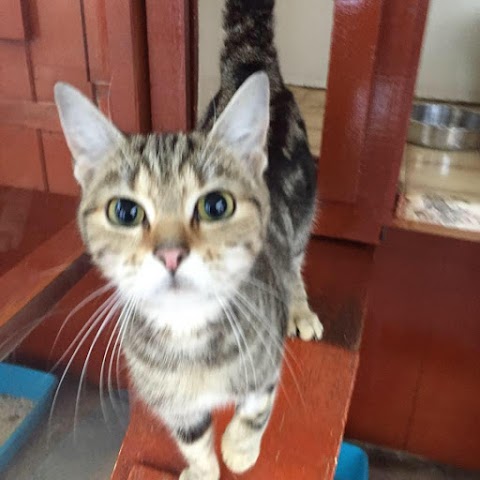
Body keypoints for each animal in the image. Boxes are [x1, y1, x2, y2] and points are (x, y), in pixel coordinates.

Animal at [52, 0, 322, 478]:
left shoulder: (267, 359)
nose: (171, 254)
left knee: (294, 263)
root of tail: (254, 67)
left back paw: (300, 308)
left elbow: (255, 407)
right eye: (125, 212)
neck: (188, 335)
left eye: (216, 205)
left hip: (302, 214)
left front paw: (239, 449)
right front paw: (203, 468)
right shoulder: (171, 401)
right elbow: (192, 439)